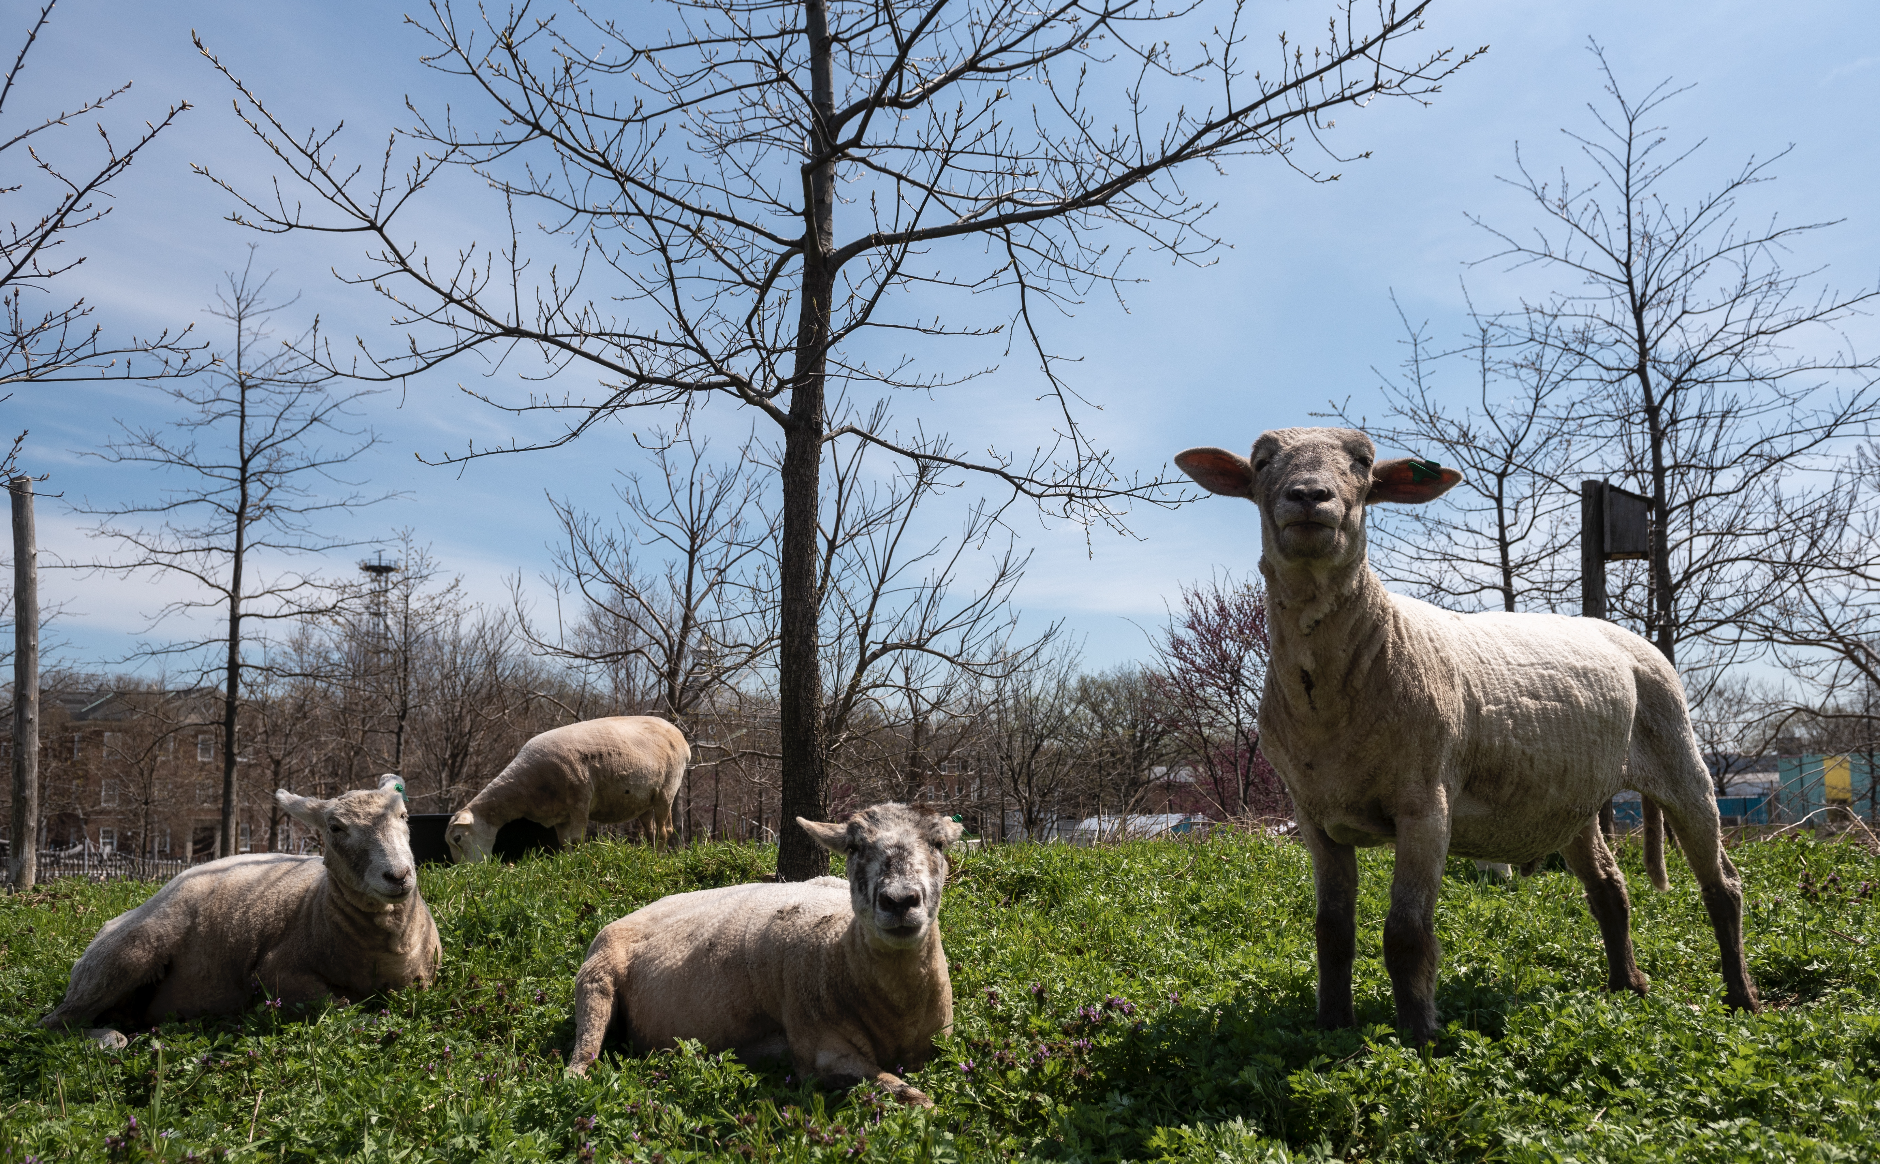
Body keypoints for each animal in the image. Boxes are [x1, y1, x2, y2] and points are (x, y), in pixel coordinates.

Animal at [41, 774, 439, 1045]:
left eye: (404, 816)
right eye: (336, 827)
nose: (398, 875)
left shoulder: (423, 978)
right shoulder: (275, 972)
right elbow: (336, 1005)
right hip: (127, 952)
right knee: (53, 1024)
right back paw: (109, 1039)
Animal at [443, 714, 688, 861]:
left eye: (458, 839)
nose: (466, 872)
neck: (524, 788)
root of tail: (680, 736)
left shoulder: (580, 800)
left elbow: (577, 839)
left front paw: (580, 863)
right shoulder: (559, 815)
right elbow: (564, 842)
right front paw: (567, 862)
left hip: (667, 789)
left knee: (665, 829)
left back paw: (658, 858)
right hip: (645, 799)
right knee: (651, 830)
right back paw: (649, 854)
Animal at [564, 804, 962, 1105]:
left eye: (939, 843)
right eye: (852, 847)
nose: (899, 901)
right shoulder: (819, 1048)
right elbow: (913, 1096)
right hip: (596, 979)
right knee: (583, 1053)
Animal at [1180, 428, 1752, 1045]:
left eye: (1363, 463)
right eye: (1262, 462)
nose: (1310, 497)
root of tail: (1624, 635)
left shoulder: (1426, 804)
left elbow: (1406, 932)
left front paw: (1419, 1038)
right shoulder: (1313, 815)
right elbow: (1331, 929)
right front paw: (1332, 1028)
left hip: (1678, 753)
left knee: (1722, 886)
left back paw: (1741, 999)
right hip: (1570, 798)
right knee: (1609, 888)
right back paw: (1627, 985)